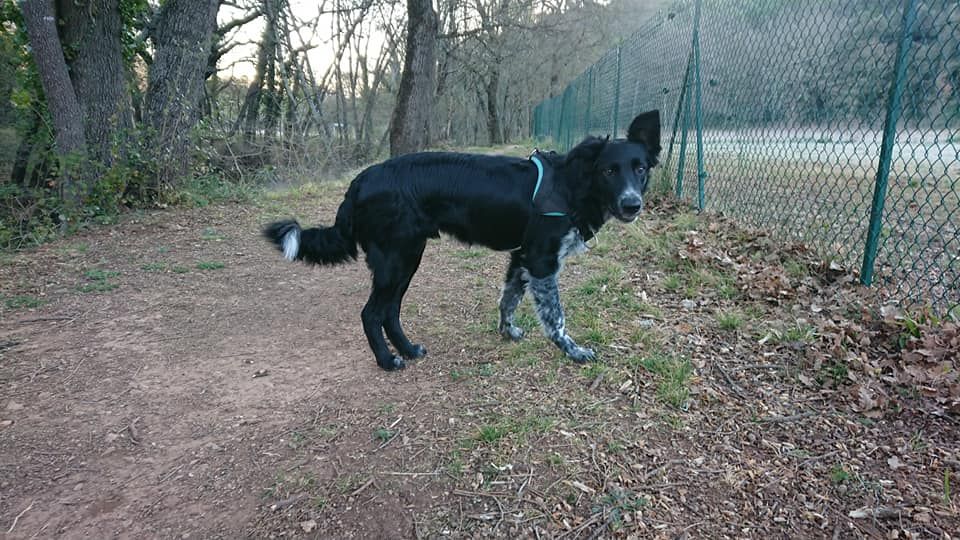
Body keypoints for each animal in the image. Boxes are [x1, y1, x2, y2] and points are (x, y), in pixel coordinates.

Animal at [266, 109, 664, 372]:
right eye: (609, 170)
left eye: (640, 169)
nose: (632, 204)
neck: (572, 185)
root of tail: (360, 180)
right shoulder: (541, 261)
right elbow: (556, 319)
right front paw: (573, 350)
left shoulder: (521, 259)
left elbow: (508, 300)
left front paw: (507, 331)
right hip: (397, 259)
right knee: (371, 313)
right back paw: (387, 360)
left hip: (407, 258)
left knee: (390, 311)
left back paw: (407, 349)